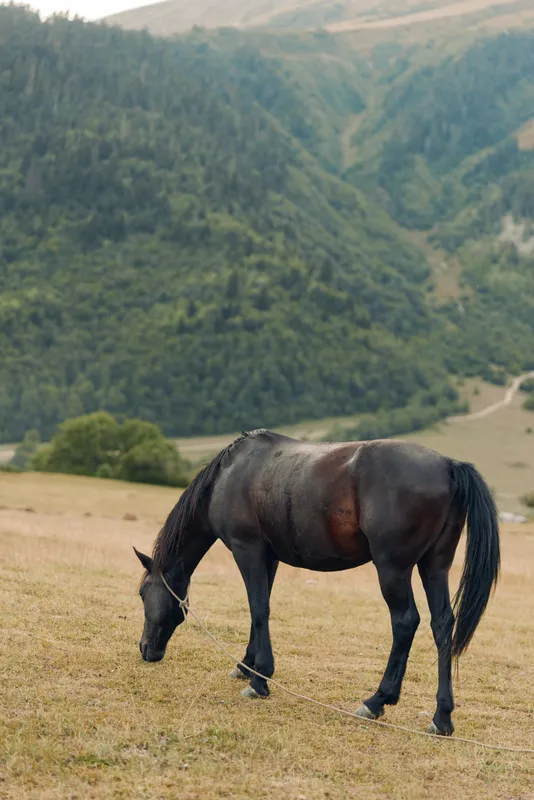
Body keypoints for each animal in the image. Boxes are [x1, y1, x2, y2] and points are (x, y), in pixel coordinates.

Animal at [134, 429, 500, 736]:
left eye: (141, 593)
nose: (145, 649)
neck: (231, 473)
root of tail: (448, 466)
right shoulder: (268, 557)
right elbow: (259, 609)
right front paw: (247, 666)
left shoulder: (246, 549)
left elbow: (258, 608)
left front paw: (260, 680)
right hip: (434, 565)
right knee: (442, 625)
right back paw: (442, 717)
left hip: (393, 568)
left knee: (405, 622)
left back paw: (376, 701)